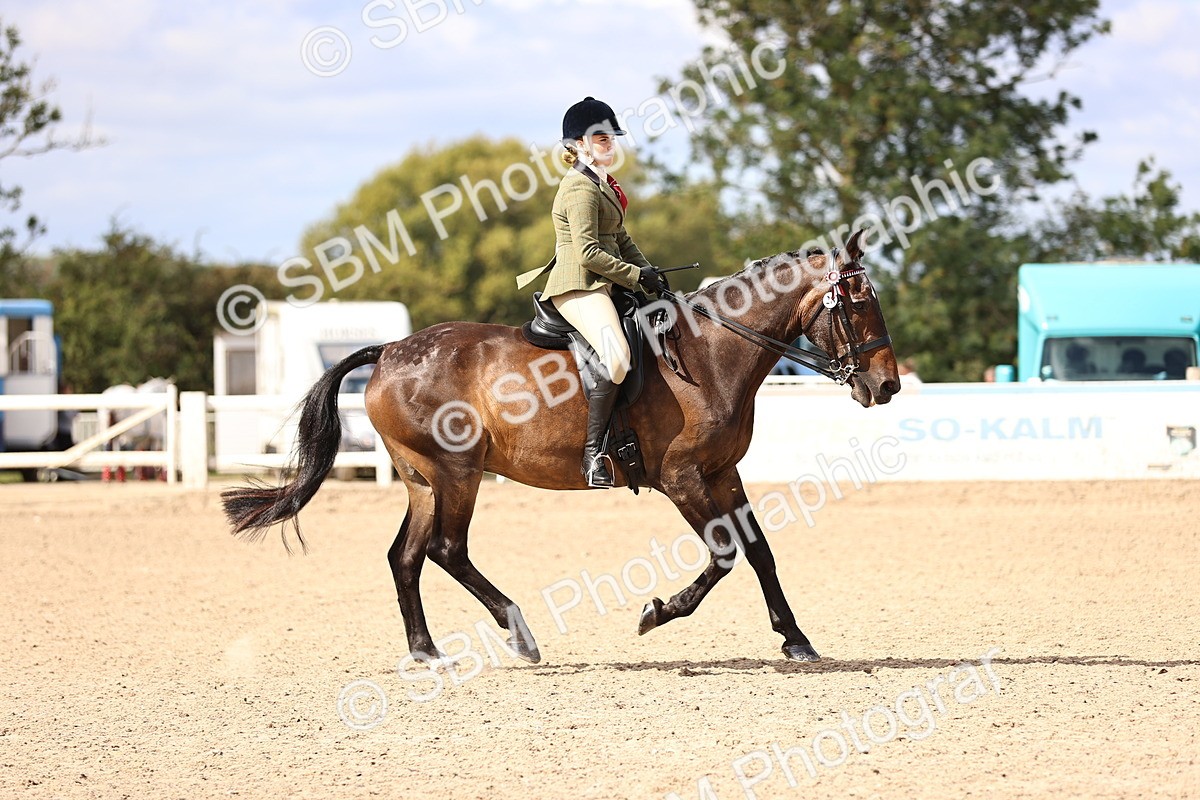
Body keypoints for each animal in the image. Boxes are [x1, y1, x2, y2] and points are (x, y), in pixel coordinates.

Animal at [223, 230, 899, 663]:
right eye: (858, 302)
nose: (886, 385)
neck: (711, 352)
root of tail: (387, 351)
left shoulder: (722, 473)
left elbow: (759, 552)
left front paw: (797, 640)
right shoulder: (682, 478)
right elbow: (725, 554)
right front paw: (657, 612)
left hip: (422, 479)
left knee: (407, 555)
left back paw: (427, 651)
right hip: (457, 472)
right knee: (445, 549)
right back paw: (519, 633)